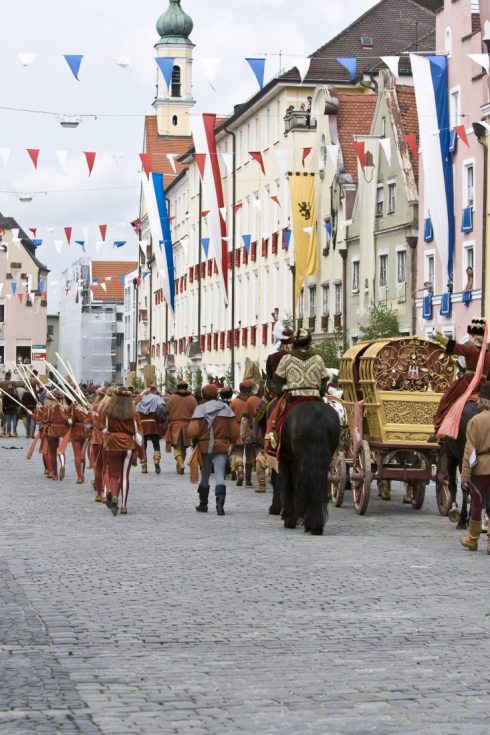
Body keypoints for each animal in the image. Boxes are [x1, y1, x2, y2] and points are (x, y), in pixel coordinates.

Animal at [272, 402, 340, 536]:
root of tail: (317, 414)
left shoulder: (285, 458)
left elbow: (289, 485)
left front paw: (288, 517)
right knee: (316, 484)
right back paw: (315, 524)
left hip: (299, 460)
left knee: (302, 485)